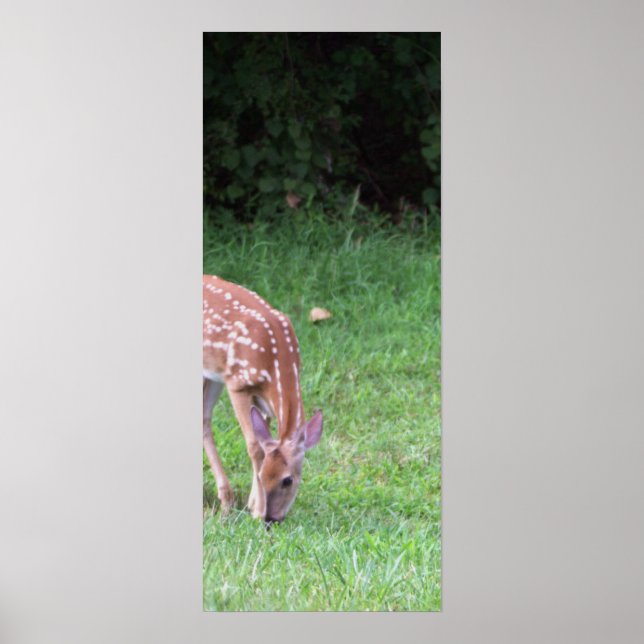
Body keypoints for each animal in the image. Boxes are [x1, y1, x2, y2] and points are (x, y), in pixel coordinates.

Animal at [202, 275, 324, 524]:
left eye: (287, 480)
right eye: (263, 476)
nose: (272, 519)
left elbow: (263, 438)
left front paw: (250, 504)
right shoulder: (238, 384)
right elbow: (254, 446)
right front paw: (256, 510)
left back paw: (226, 498)